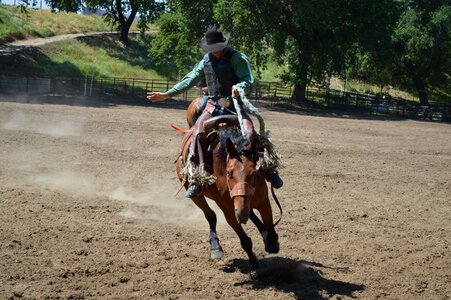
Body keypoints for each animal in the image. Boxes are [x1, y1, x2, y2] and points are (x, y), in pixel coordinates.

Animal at [175, 99, 280, 270]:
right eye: (229, 173)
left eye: (254, 172)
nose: (241, 213)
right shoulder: (228, 211)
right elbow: (245, 240)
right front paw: (253, 262)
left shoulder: (263, 201)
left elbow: (269, 226)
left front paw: (271, 241)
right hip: (195, 195)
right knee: (210, 215)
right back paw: (216, 247)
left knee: (249, 213)